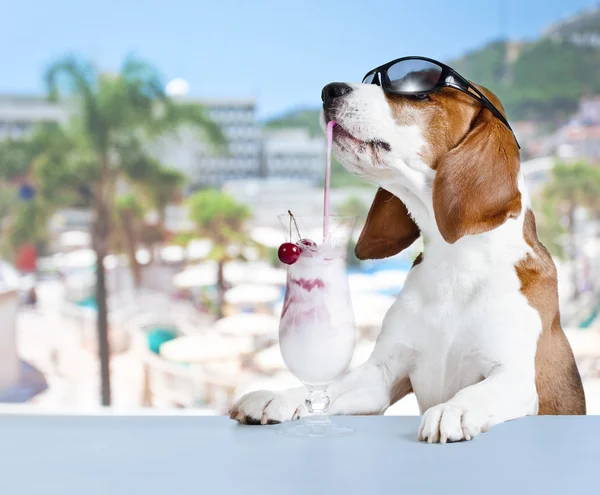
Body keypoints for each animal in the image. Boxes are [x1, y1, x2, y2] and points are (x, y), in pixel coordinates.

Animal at [231, 63, 584, 446]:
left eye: (418, 91)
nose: (329, 90)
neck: (455, 267)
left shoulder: (516, 378)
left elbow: (477, 392)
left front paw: (453, 410)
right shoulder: (381, 375)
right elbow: (327, 388)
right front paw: (279, 396)